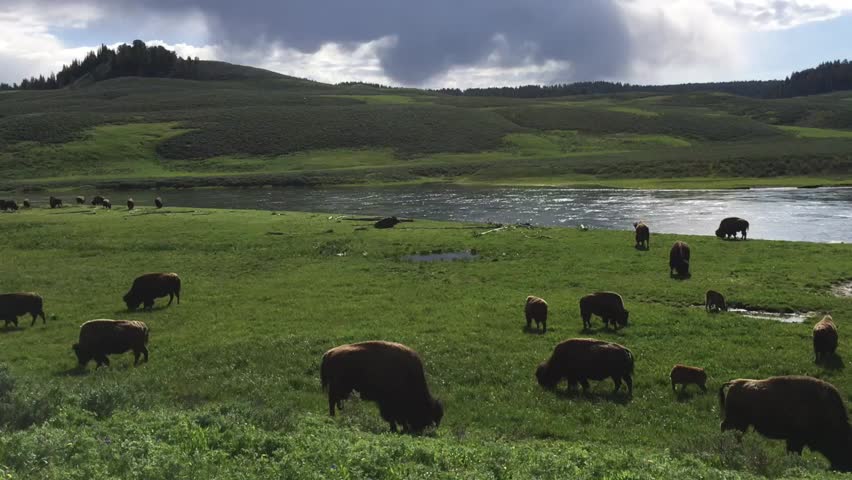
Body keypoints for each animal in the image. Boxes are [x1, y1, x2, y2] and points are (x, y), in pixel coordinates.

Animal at [720, 376, 852, 472]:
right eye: (844, 442)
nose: (845, 467)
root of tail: (733, 383)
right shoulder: (795, 440)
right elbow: (794, 452)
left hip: (738, 423)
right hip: (737, 422)